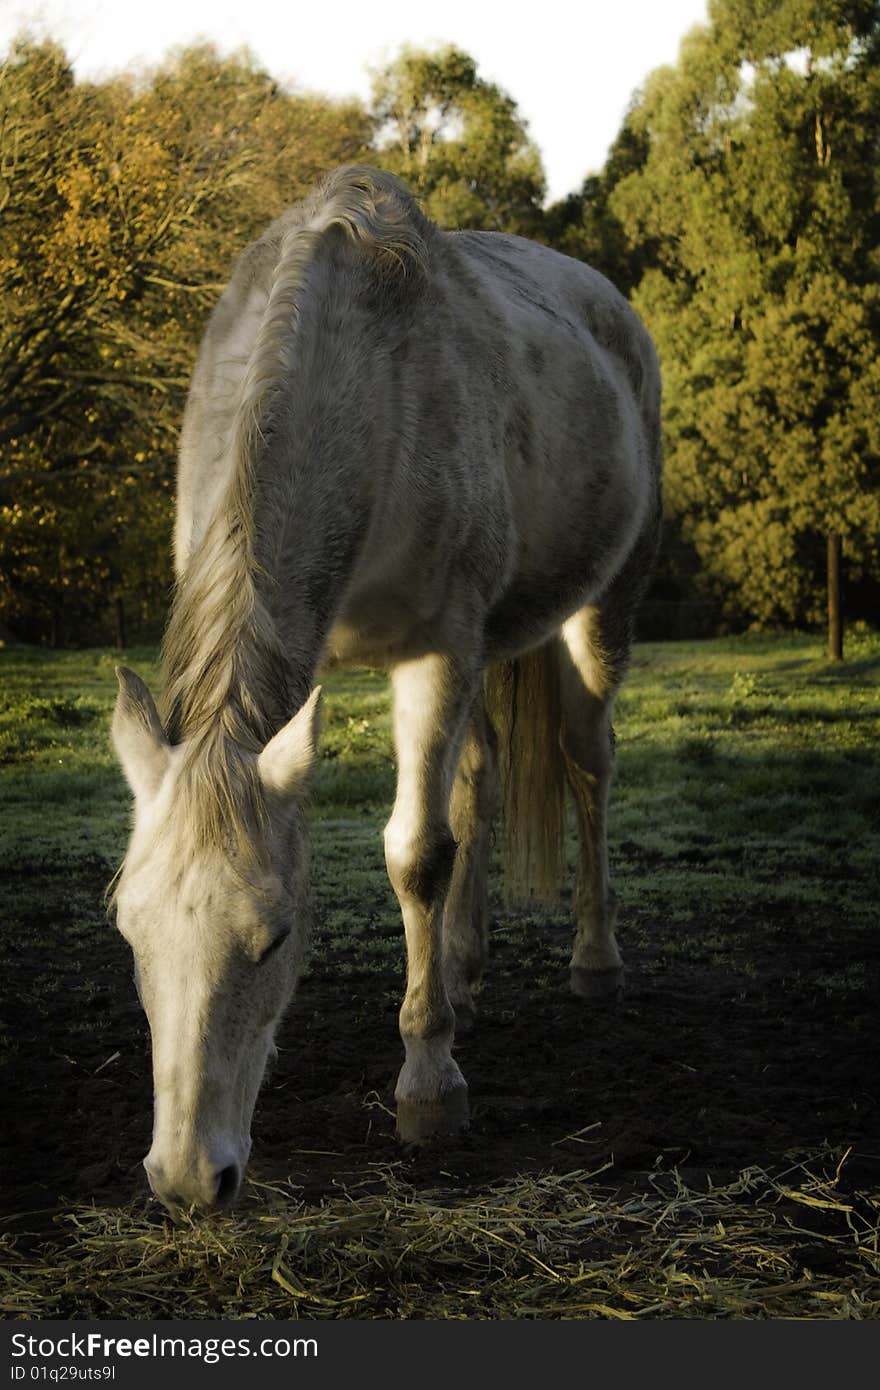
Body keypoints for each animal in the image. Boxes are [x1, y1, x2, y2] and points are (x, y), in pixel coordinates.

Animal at [109, 165, 658, 1217]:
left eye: (276, 937)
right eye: (129, 932)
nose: (190, 1181)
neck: (367, 383)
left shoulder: (436, 650)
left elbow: (416, 855)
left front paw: (429, 1088)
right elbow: (447, 827)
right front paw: (438, 1011)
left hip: (599, 606)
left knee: (585, 765)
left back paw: (597, 961)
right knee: (480, 782)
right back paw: (465, 975)